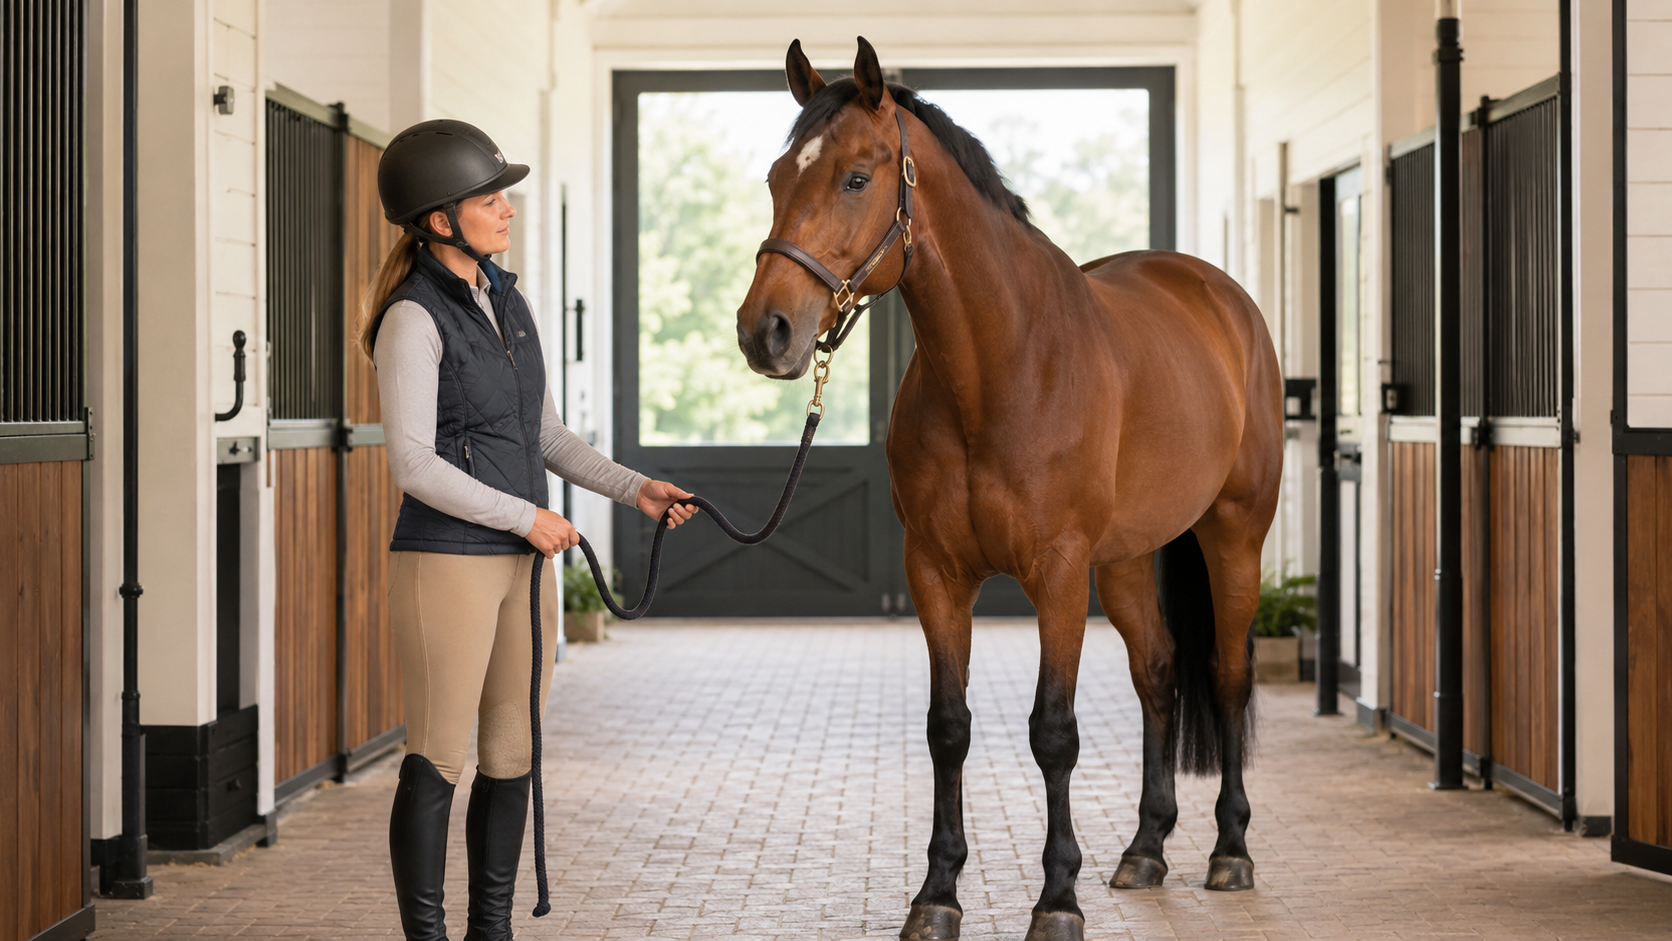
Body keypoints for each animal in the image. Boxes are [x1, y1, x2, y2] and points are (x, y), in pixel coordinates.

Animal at [735, 38, 1283, 941]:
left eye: (856, 177)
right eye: (779, 177)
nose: (765, 331)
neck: (1001, 366)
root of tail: (1221, 297)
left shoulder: (1056, 573)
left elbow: (1053, 731)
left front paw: (1057, 897)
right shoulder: (937, 573)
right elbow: (947, 728)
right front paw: (937, 893)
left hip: (1233, 533)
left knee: (1229, 672)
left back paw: (1230, 850)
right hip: (1125, 561)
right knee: (1159, 672)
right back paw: (1145, 847)